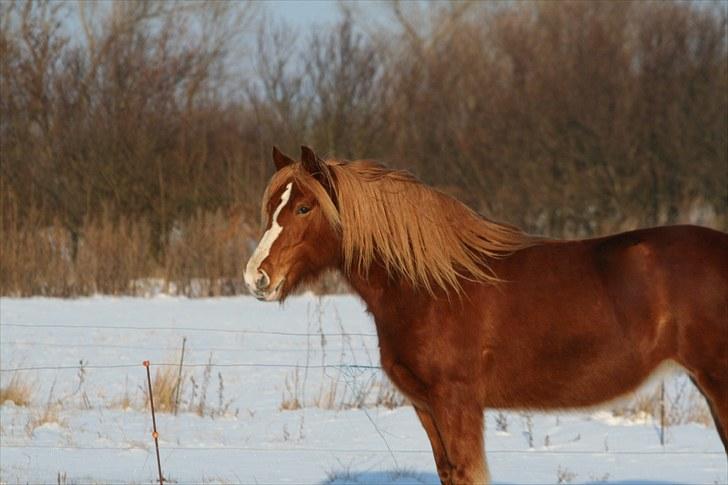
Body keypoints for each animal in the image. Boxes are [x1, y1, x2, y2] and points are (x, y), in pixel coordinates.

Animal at [246, 146, 728, 482]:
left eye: (304, 207)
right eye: (271, 207)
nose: (256, 278)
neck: (432, 286)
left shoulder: (457, 403)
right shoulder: (426, 407)